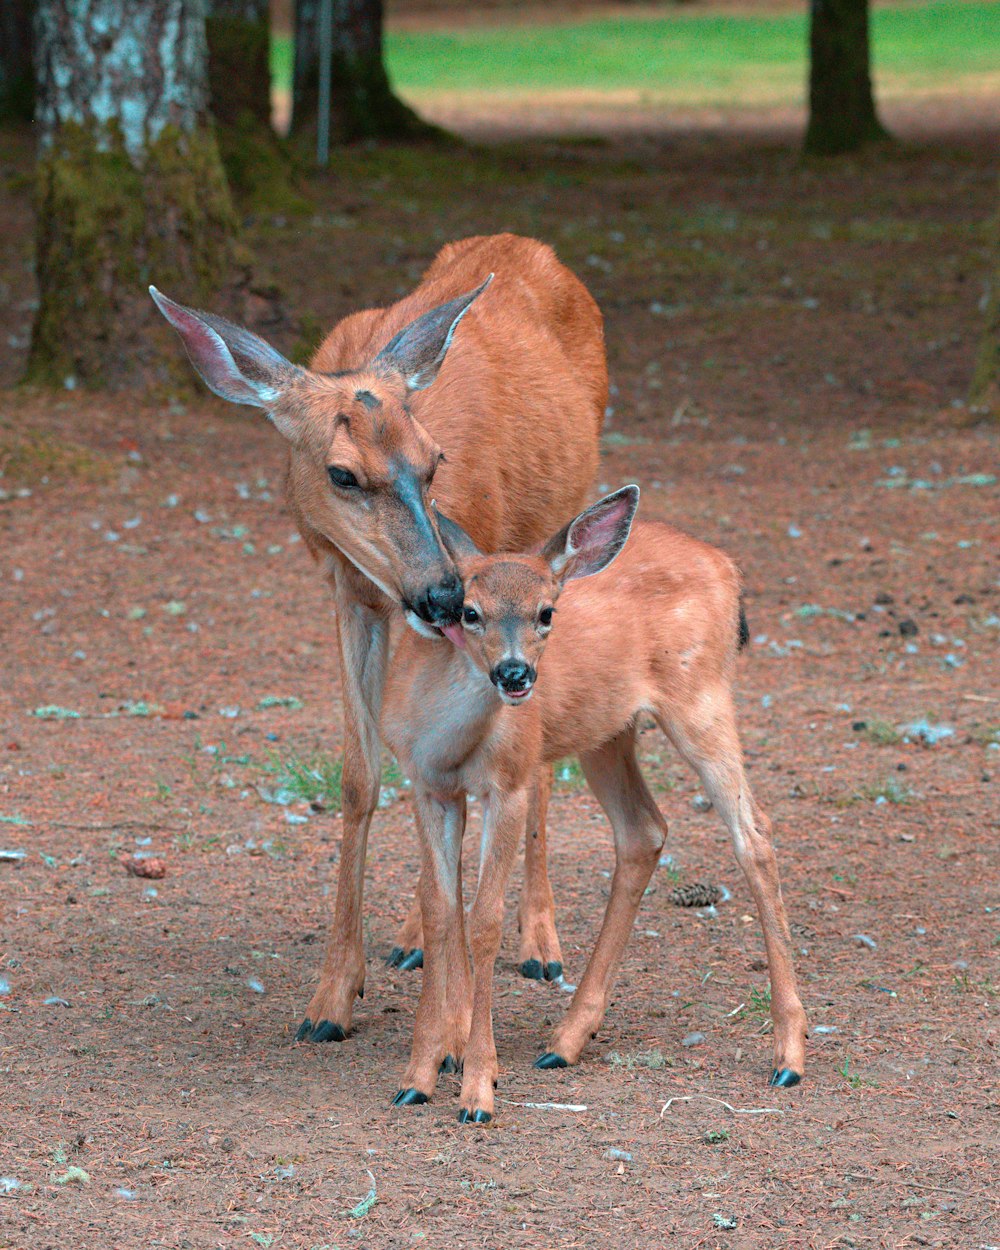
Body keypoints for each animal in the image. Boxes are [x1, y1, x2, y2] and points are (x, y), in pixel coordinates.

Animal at [147, 235, 602, 1045]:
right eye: (341, 474)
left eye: (434, 460)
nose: (443, 593)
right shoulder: (347, 592)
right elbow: (361, 777)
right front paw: (332, 997)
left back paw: (540, 943)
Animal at [380, 485, 810, 1125]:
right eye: (469, 611)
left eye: (546, 613)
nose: (515, 674)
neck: (448, 737)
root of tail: (728, 568)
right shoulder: (426, 786)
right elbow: (440, 912)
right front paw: (418, 1076)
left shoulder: (512, 780)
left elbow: (484, 921)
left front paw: (478, 1089)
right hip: (608, 733)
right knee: (644, 829)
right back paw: (564, 1042)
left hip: (700, 697)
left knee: (752, 832)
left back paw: (789, 1057)